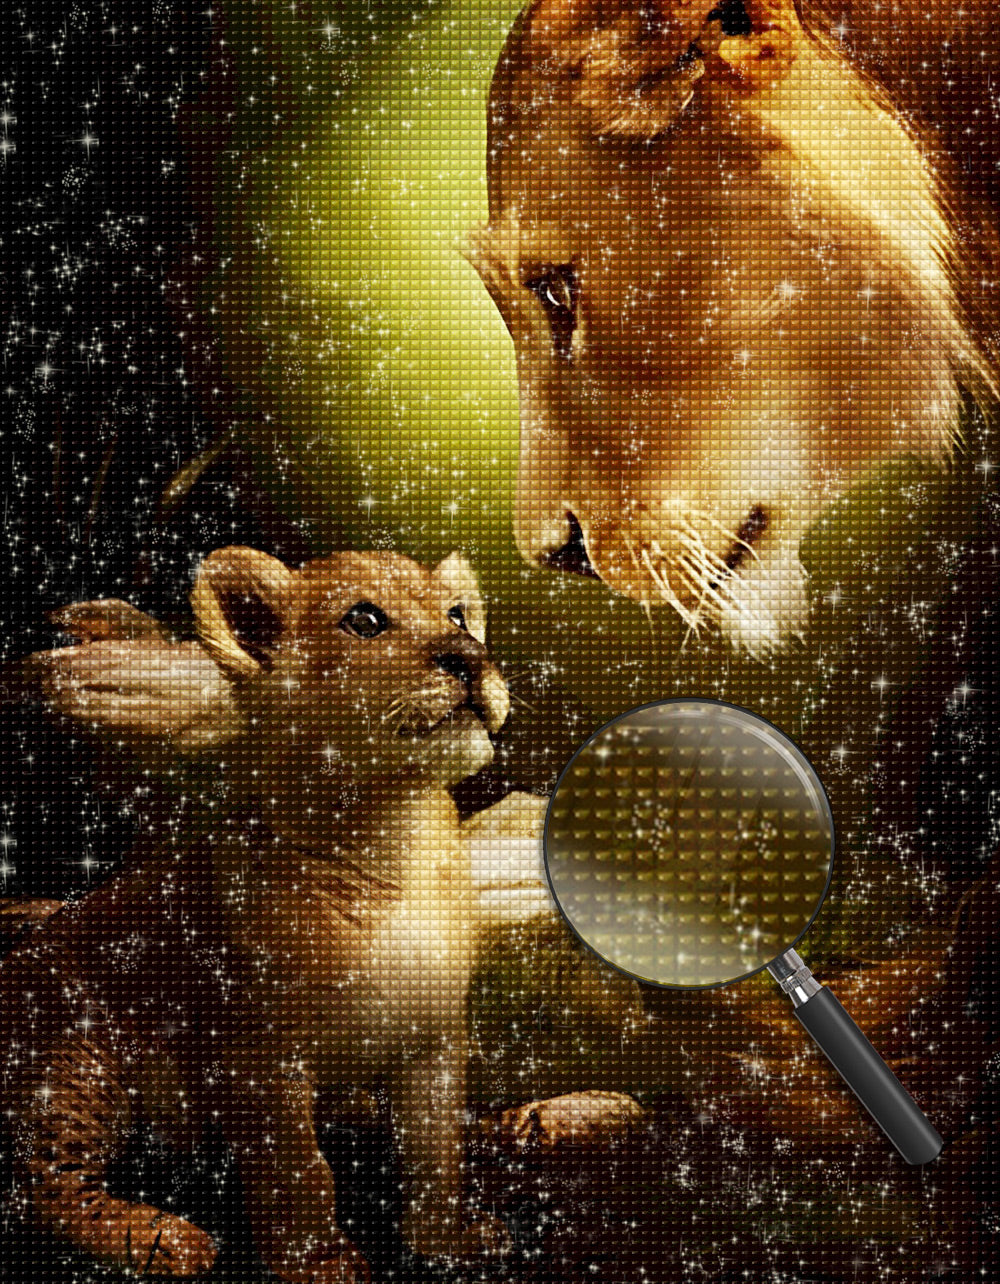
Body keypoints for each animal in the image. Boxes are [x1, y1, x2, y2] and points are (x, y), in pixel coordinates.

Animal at [0, 546, 518, 1282]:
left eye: (457, 616)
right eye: (364, 619)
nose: (470, 658)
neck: (395, 837)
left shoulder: (434, 1038)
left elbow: (433, 1152)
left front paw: (448, 1241)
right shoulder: (262, 1055)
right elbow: (299, 1169)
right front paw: (319, 1261)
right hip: (74, 1060)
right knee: (43, 1189)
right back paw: (167, 1239)